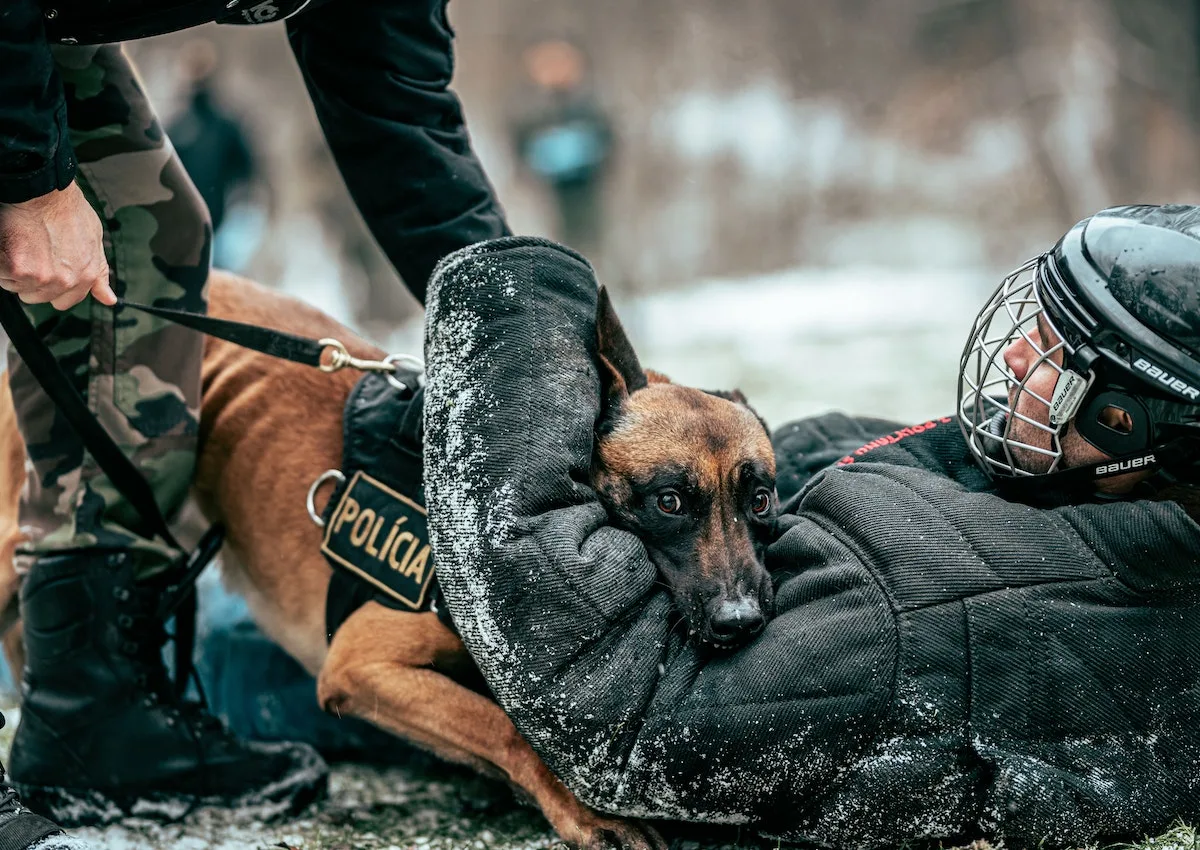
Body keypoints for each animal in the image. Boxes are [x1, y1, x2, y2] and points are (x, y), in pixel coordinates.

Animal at [0, 272, 777, 850]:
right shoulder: (360, 665)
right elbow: (503, 727)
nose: (742, 621)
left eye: (761, 500)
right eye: (669, 502)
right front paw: (577, 808)